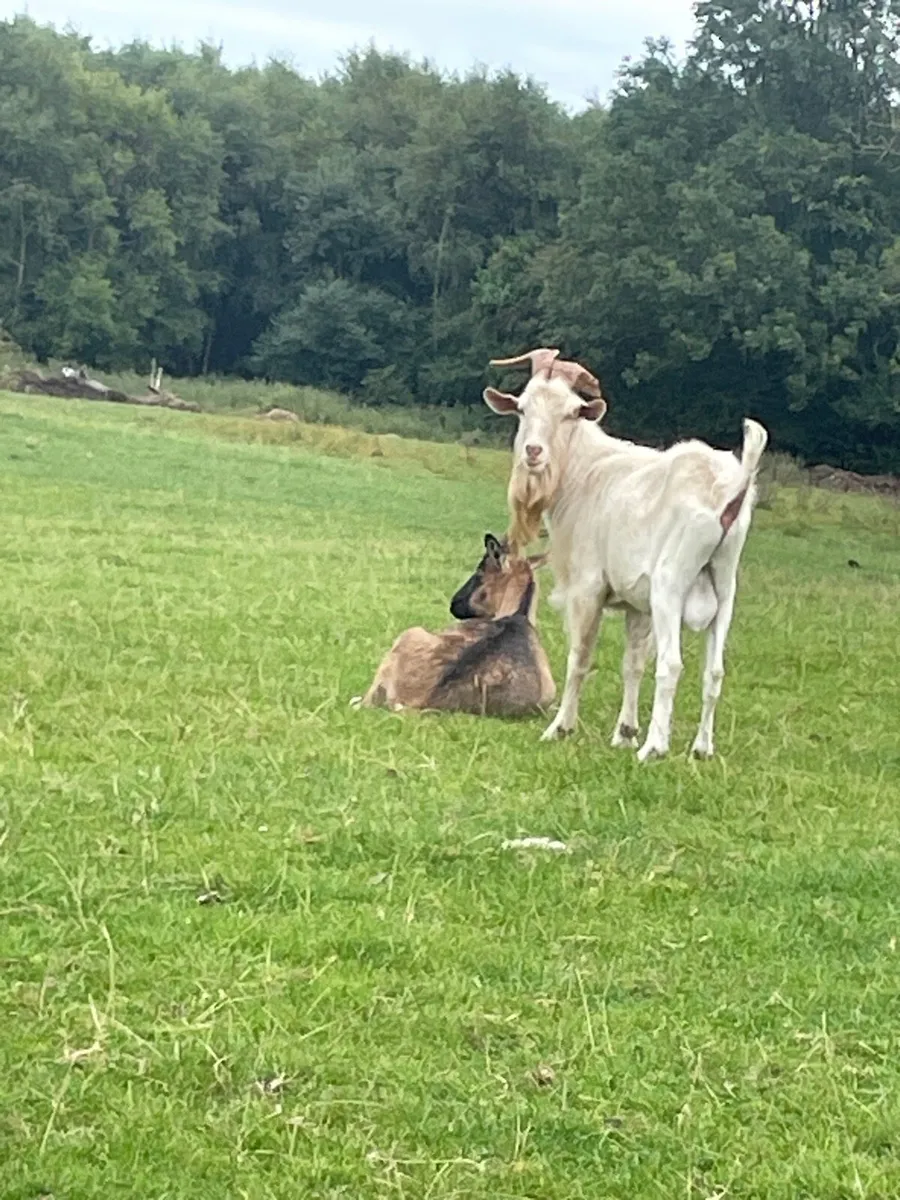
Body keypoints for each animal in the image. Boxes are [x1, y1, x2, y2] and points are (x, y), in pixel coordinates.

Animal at [484, 348, 768, 760]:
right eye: (521, 408)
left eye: (570, 412)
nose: (533, 452)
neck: (584, 469)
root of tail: (732, 486)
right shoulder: (638, 604)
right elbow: (632, 663)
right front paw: (625, 733)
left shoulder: (588, 587)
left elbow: (580, 657)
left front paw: (560, 728)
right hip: (725, 582)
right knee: (714, 670)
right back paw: (701, 748)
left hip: (670, 584)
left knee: (671, 664)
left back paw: (654, 748)